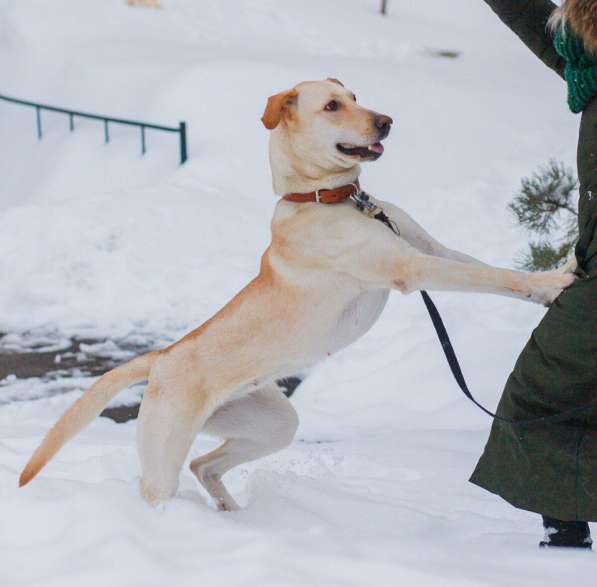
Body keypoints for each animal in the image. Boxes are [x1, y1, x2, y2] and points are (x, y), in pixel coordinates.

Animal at [18, 80, 576, 512]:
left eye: (355, 96)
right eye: (331, 106)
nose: (387, 121)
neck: (330, 199)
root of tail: (161, 357)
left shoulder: (428, 247)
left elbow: (484, 268)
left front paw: (557, 269)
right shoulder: (411, 267)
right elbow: (493, 278)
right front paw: (551, 285)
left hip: (274, 424)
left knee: (206, 463)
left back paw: (231, 514)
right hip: (163, 459)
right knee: (164, 484)